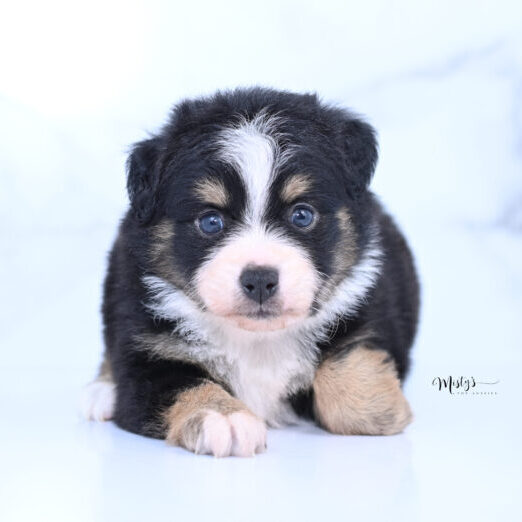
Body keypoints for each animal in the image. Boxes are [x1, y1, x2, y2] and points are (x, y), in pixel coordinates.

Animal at [82, 88, 418, 456]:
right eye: (210, 221)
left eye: (302, 215)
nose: (259, 280)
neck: (257, 340)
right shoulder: (146, 355)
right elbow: (184, 384)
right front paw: (223, 418)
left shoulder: (370, 307)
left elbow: (348, 367)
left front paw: (379, 407)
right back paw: (101, 392)